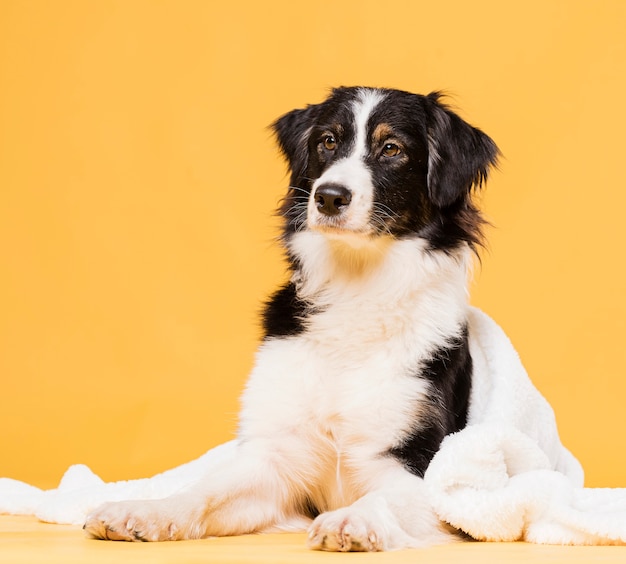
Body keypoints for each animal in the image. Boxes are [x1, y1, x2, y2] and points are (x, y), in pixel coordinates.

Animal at [84, 87, 498, 552]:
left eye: (392, 148)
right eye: (327, 142)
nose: (329, 196)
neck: (358, 289)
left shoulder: (428, 469)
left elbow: (388, 499)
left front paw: (353, 519)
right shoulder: (279, 457)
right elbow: (206, 492)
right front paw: (147, 510)